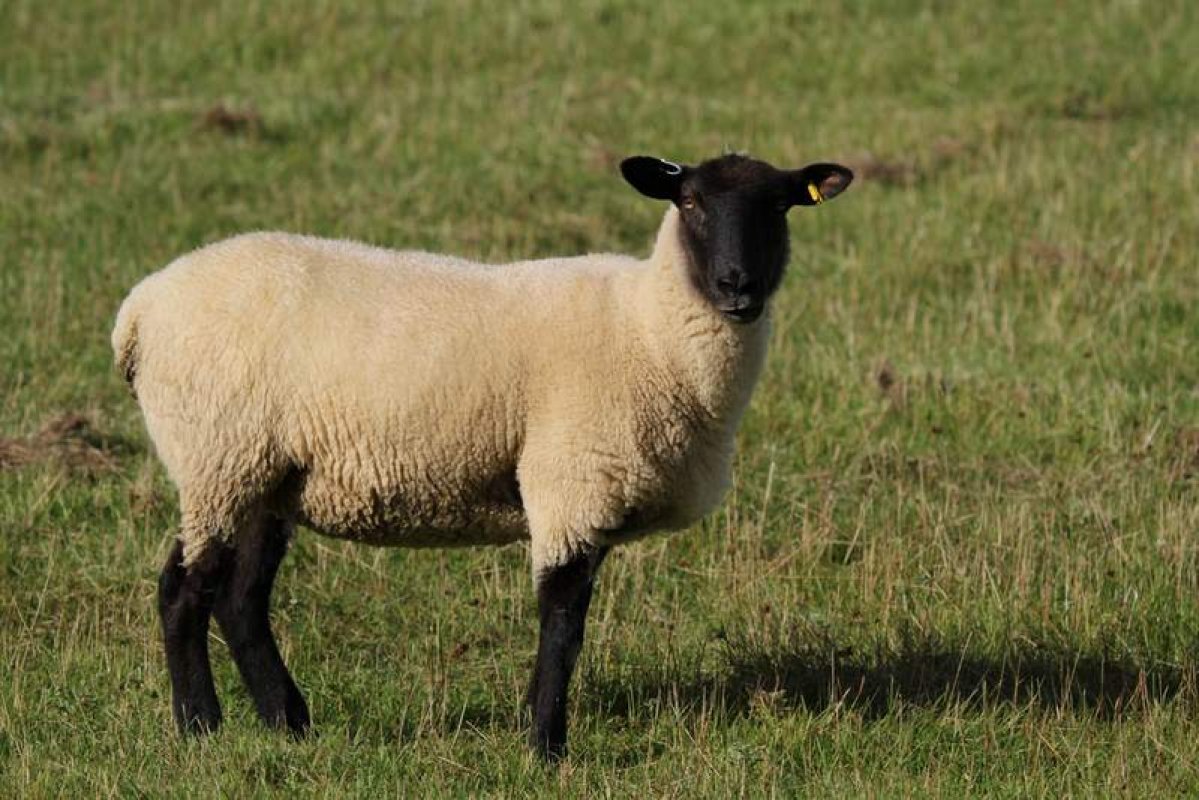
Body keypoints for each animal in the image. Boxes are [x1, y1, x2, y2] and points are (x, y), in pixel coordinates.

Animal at [112, 152, 853, 760]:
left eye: (780, 206)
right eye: (691, 202)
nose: (737, 286)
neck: (649, 328)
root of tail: (141, 309)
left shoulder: (590, 495)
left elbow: (570, 617)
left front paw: (535, 727)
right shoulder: (569, 479)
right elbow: (563, 621)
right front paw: (546, 745)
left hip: (266, 477)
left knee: (241, 601)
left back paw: (289, 723)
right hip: (217, 457)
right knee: (183, 590)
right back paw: (200, 727)